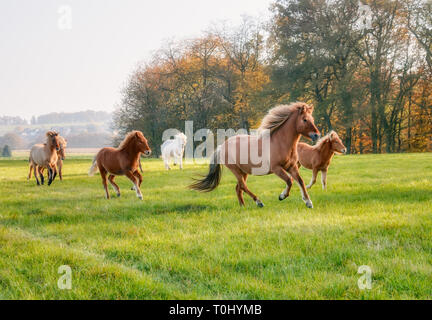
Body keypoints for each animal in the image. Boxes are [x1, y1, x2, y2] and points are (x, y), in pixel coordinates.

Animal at [190, 101, 320, 209]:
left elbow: (300, 181)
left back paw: (243, 206)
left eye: (312, 119)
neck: (281, 143)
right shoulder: (277, 168)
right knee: (243, 186)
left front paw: (308, 202)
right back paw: (259, 202)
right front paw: (282, 196)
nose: (317, 135)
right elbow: (289, 181)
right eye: (304, 119)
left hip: (244, 171)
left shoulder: (292, 167)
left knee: (238, 188)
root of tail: (222, 146)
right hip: (235, 170)